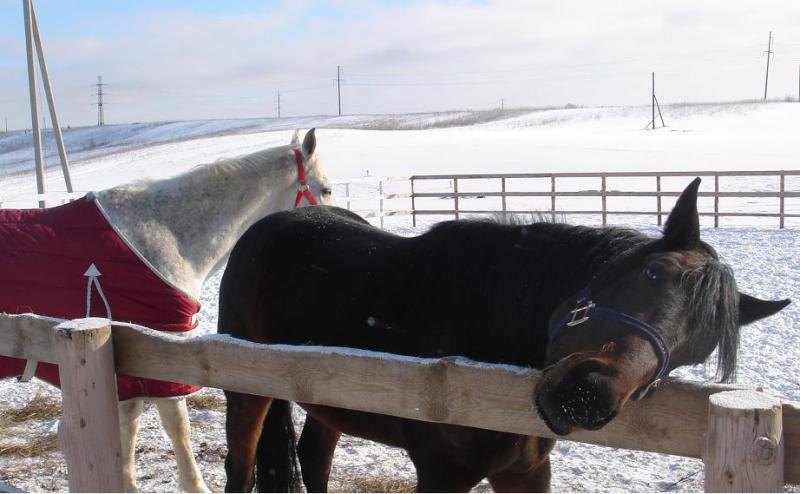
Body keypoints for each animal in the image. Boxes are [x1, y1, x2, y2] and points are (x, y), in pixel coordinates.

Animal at [85, 128, 332, 490]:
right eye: (325, 189)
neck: (167, 235)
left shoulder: (129, 361)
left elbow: (128, 426)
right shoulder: (160, 355)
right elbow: (177, 426)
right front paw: (195, 485)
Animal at [217, 179, 788, 492]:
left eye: (696, 351)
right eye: (654, 273)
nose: (587, 394)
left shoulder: (525, 474)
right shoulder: (442, 475)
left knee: (314, 458)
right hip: (248, 392)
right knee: (240, 469)